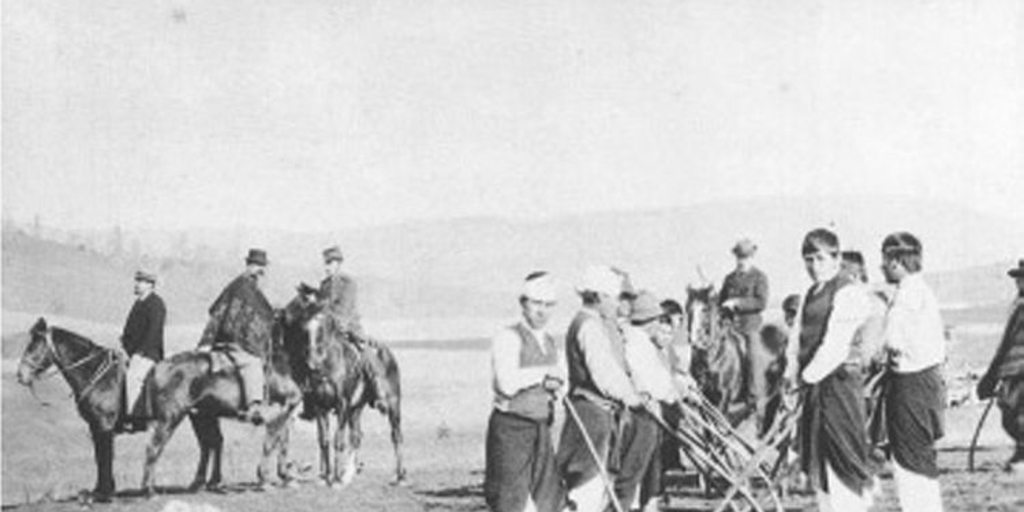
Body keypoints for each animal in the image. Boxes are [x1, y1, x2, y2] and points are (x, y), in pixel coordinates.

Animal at [16, 317, 301, 501]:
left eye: (35, 346)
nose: (21, 376)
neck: (97, 373)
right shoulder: (97, 428)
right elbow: (100, 457)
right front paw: (99, 490)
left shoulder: (104, 426)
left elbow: (105, 456)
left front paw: (105, 493)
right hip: (198, 417)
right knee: (210, 443)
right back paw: (203, 483)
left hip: (172, 418)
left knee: (158, 448)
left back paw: (151, 489)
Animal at [282, 292, 409, 487]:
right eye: (305, 329)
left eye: (323, 328)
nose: (312, 362)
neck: (329, 365)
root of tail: (388, 354)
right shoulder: (321, 407)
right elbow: (324, 440)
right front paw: (326, 477)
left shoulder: (342, 405)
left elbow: (338, 440)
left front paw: (334, 479)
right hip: (355, 409)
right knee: (356, 436)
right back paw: (348, 475)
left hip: (393, 405)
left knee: (396, 436)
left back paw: (400, 476)